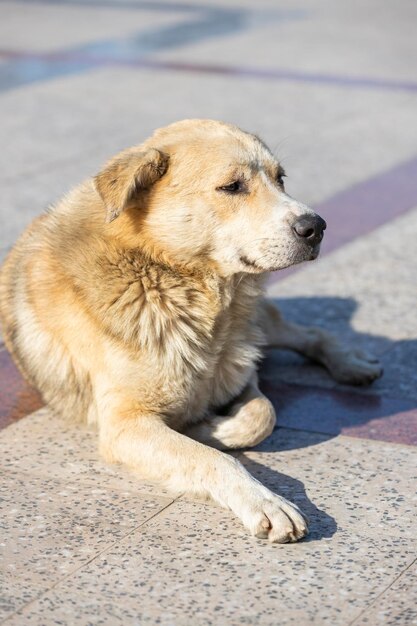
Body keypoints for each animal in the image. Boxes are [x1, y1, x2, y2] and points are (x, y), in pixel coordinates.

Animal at [0, 119, 382, 540]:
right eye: (232, 186)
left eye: (281, 179)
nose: (317, 226)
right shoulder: (123, 424)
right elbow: (214, 457)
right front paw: (263, 500)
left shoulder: (240, 373)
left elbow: (261, 415)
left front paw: (208, 425)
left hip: (262, 325)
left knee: (311, 334)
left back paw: (352, 364)